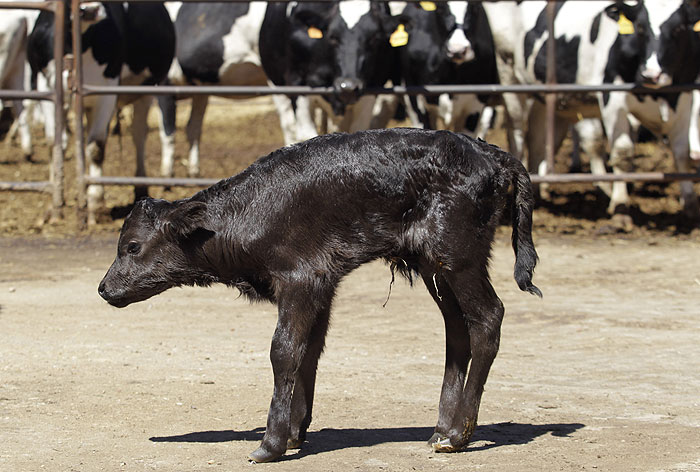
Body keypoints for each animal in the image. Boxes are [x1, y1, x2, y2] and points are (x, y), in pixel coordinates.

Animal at [28, 1, 175, 225]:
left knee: (139, 134)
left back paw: (140, 186)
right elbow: (55, 143)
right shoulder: (48, 88)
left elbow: (95, 147)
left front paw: (96, 205)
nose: (90, 10)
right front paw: (55, 204)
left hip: (145, 90)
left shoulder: (106, 91)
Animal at [157, 1, 268, 179]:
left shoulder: (164, 87)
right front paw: (193, 171)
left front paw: (167, 174)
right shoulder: (201, 91)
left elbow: (168, 132)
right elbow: (193, 128)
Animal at [260, 0, 400, 144]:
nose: (348, 87)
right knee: (289, 126)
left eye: (374, 38)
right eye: (333, 37)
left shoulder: (372, 88)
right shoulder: (297, 83)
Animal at [478, 0, 700, 225]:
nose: (651, 74)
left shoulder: (684, 97)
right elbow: (622, 152)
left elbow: (681, 153)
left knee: (538, 140)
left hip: (542, 95)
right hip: (510, 77)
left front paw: (690, 204)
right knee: (517, 133)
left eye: (680, 28)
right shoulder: (612, 97)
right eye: (640, 27)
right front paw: (620, 208)